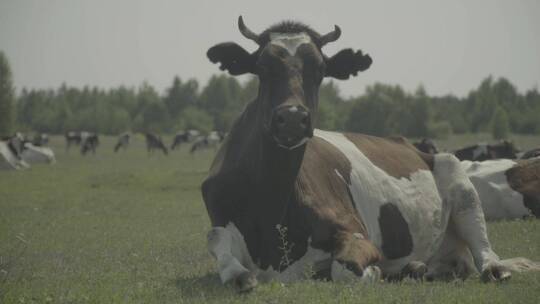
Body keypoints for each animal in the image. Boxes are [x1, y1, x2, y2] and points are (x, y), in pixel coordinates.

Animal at [200, 17, 536, 292]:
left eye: (320, 70)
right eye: (261, 67)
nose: (293, 118)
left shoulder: (357, 234)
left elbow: (344, 269)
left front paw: (378, 272)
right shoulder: (220, 218)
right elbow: (225, 255)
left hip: (458, 178)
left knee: (485, 252)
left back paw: (487, 269)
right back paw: (418, 269)